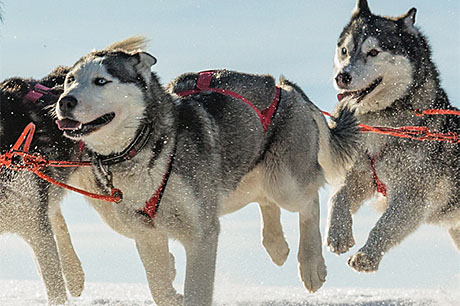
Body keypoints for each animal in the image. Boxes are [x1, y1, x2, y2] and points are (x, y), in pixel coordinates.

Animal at [55, 37, 360, 304]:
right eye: (70, 80)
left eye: (101, 81)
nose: (65, 101)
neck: (148, 148)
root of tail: (284, 87)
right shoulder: (148, 236)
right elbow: (159, 289)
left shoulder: (201, 234)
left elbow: (196, 291)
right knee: (264, 199)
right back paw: (276, 245)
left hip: (284, 182)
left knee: (309, 201)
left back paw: (311, 264)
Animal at [328, 0, 460, 272]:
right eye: (345, 51)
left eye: (373, 52)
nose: (342, 77)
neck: (380, 124)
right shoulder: (359, 175)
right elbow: (338, 196)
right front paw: (338, 233)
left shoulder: (413, 194)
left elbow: (386, 225)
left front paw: (367, 254)